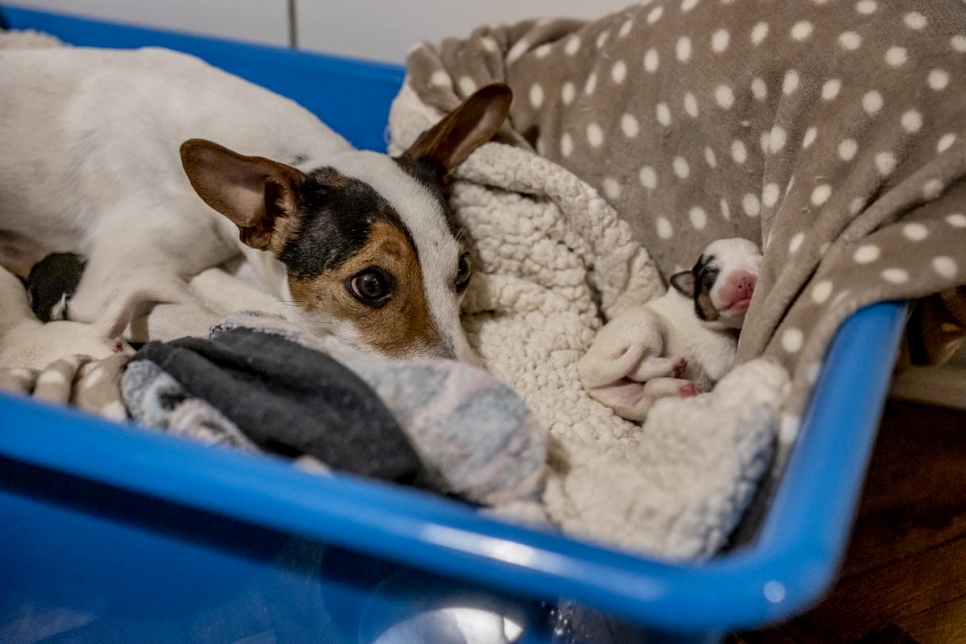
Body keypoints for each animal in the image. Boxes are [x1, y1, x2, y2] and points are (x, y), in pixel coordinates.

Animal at [576, 239, 764, 420]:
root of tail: (587, 370)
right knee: (639, 369)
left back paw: (683, 388)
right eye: (712, 271)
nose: (744, 280)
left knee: (649, 390)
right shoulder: (717, 350)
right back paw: (673, 367)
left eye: (760, 263)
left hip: (627, 397)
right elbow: (727, 364)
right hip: (646, 327)